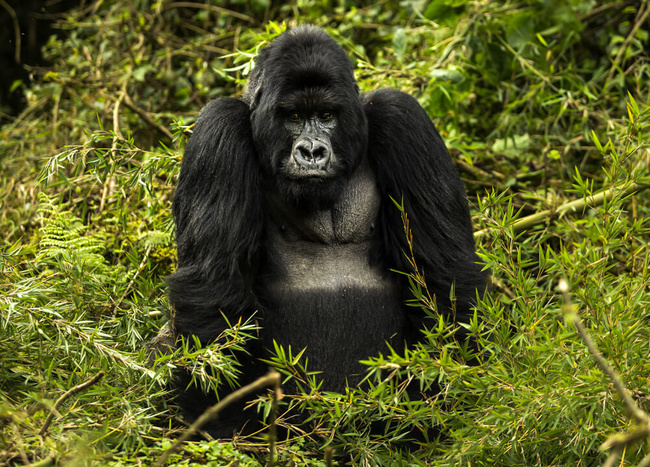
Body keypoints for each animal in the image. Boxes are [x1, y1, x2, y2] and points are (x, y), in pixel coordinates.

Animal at [168, 24, 486, 436]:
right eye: (293, 116)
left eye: (326, 115)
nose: (312, 152)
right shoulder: (218, 127)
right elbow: (213, 293)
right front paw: (223, 423)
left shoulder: (401, 115)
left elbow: (444, 275)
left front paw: (448, 398)